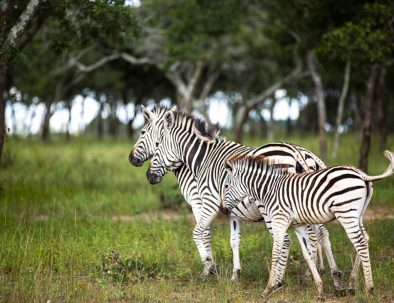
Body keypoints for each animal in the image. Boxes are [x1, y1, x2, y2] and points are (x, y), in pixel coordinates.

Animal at [142, 108, 342, 290]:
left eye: (157, 143)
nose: (148, 176)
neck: (203, 159)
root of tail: (297, 151)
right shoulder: (231, 210)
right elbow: (234, 240)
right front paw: (234, 274)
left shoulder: (206, 202)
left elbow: (200, 233)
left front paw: (208, 269)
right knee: (319, 234)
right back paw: (328, 275)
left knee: (289, 240)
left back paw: (281, 281)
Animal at [222, 152, 394, 300]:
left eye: (226, 186)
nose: (223, 210)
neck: (269, 189)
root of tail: (361, 174)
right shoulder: (299, 225)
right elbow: (307, 254)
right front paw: (319, 290)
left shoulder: (279, 220)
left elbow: (275, 253)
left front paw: (268, 288)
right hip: (358, 214)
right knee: (365, 238)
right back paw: (353, 284)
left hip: (346, 213)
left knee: (360, 243)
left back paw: (370, 289)